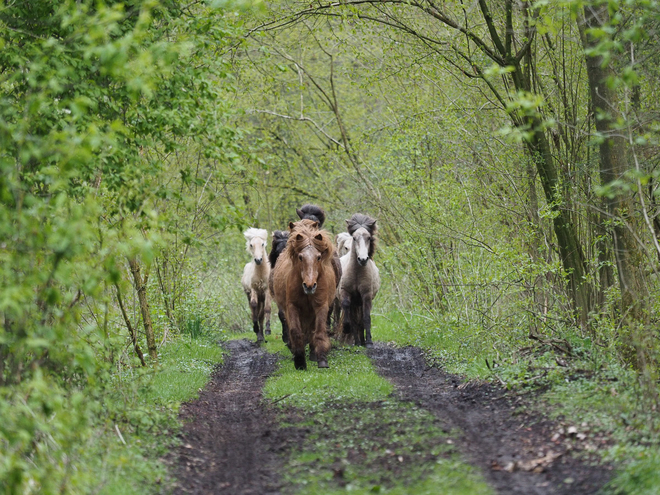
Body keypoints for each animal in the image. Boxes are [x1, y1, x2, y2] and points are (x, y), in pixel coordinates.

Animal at [270, 219, 338, 370]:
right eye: (300, 257)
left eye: (318, 257)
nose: (309, 286)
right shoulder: (292, 307)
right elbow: (295, 331)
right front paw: (300, 360)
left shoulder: (321, 306)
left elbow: (319, 331)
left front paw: (322, 359)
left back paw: (313, 354)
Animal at [340, 214, 382, 348]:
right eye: (354, 238)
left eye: (369, 238)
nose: (363, 259)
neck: (356, 273)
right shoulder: (345, 292)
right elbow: (346, 307)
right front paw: (346, 328)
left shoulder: (366, 295)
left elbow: (366, 317)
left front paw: (369, 342)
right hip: (354, 302)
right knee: (354, 319)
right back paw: (357, 341)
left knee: (361, 319)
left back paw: (362, 341)